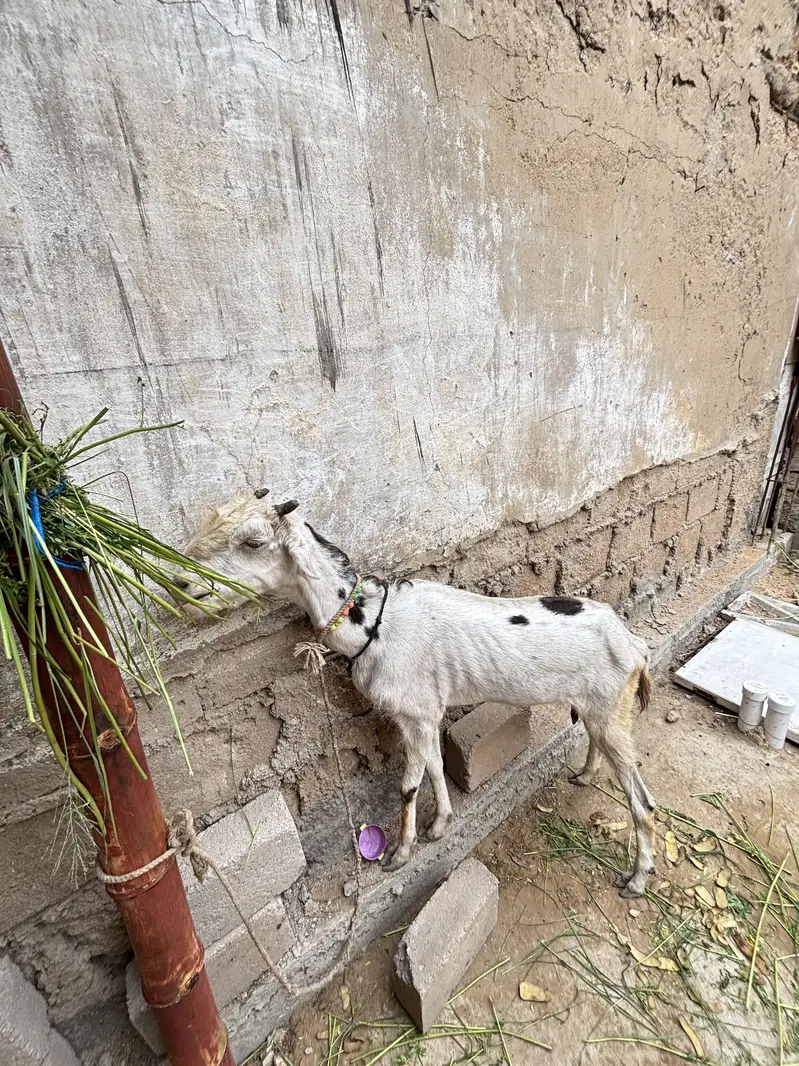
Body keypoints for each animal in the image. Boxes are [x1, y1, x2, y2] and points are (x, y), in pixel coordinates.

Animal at [179, 490, 657, 897]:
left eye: (254, 541)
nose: (184, 587)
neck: (372, 622)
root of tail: (634, 645)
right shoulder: (427, 714)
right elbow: (435, 765)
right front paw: (441, 824)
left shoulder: (412, 711)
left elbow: (409, 784)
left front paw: (401, 852)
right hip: (598, 707)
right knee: (596, 742)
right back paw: (585, 776)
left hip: (611, 707)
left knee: (642, 799)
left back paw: (637, 879)